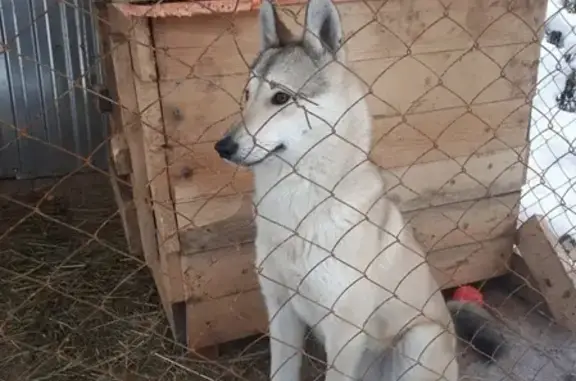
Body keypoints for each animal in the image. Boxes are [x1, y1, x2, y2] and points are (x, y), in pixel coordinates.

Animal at [214, 0, 506, 378]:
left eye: (280, 98)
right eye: (247, 96)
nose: (222, 147)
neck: (299, 205)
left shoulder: (344, 333)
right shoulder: (281, 312)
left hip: (419, 340)